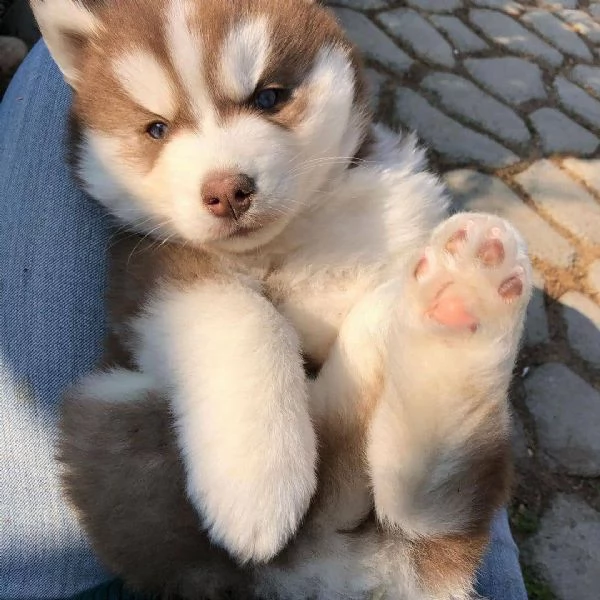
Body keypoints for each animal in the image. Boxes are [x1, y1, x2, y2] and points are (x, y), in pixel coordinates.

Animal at [30, 0, 532, 596]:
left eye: (267, 97)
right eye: (156, 129)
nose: (226, 191)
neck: (287, 244)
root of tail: (322, 566)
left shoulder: (402, 208)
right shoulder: (149, 269)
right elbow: (243, 312)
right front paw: (257, 480)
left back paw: (460, 295)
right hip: (112, 408)